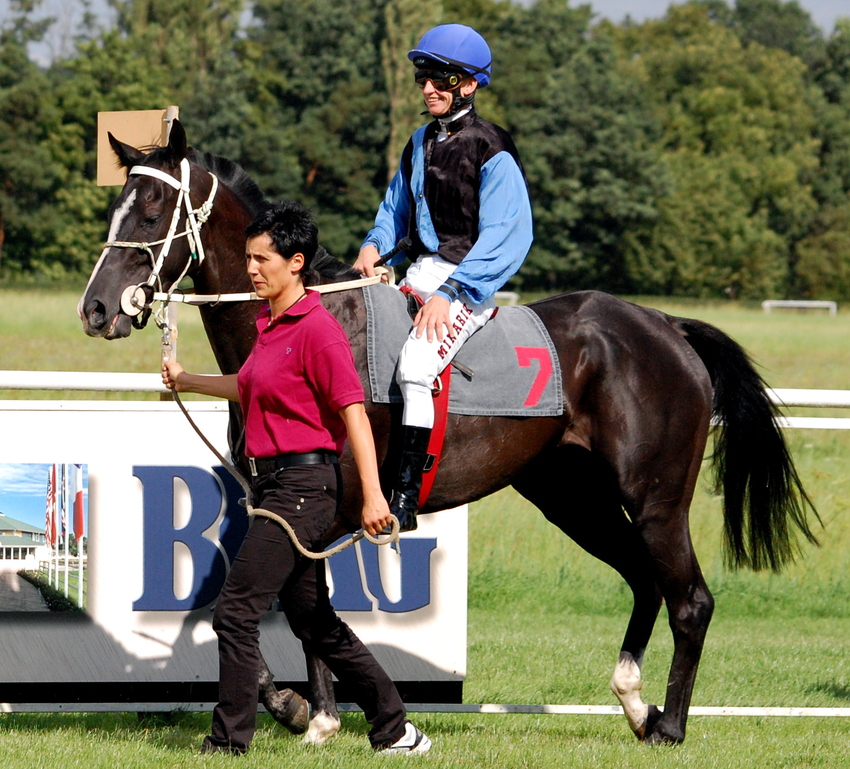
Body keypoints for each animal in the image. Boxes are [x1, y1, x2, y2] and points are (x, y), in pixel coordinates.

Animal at [78, 118, 816, 744]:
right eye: (115, 210)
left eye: (151, 212)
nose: (96, 309)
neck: (304, 324)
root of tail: (665, 325)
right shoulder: (284, 503)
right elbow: (291, 602)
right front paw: (309, 711)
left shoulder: (333, 503)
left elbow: (304, 605)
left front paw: (310, 710)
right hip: (572, 498)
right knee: (644, 579)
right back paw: (636, 702)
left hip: (657, 501)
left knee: (690, 599)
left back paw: (670, 724)